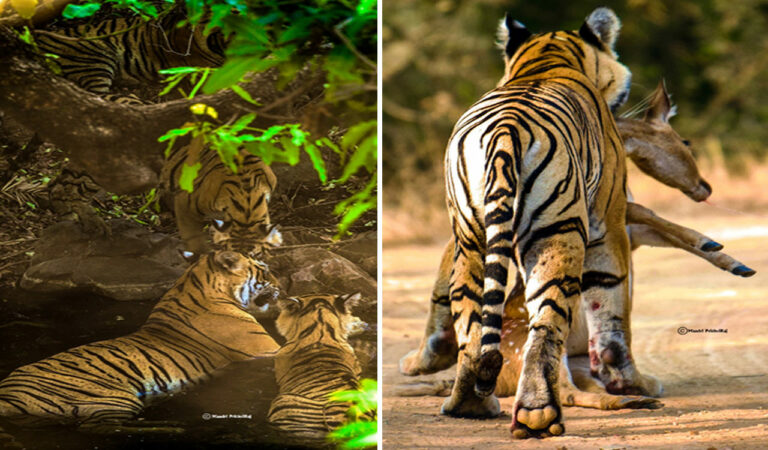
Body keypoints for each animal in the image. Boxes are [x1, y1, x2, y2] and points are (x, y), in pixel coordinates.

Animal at [0, 251, 279, 429]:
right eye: (264, 270)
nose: (280, 285)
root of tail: (7, 393)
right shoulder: (267, 351)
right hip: (109, 398)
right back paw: (170, 427)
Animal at [440, 8, 638, 438]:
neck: (548, 57)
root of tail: (505, 129)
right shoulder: (610, 223)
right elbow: (613, 305)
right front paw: (632, 382)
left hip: (469, 239)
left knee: (472, 324)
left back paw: (469, 405)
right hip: (557, 234)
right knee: (546, 324)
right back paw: (538, 413)